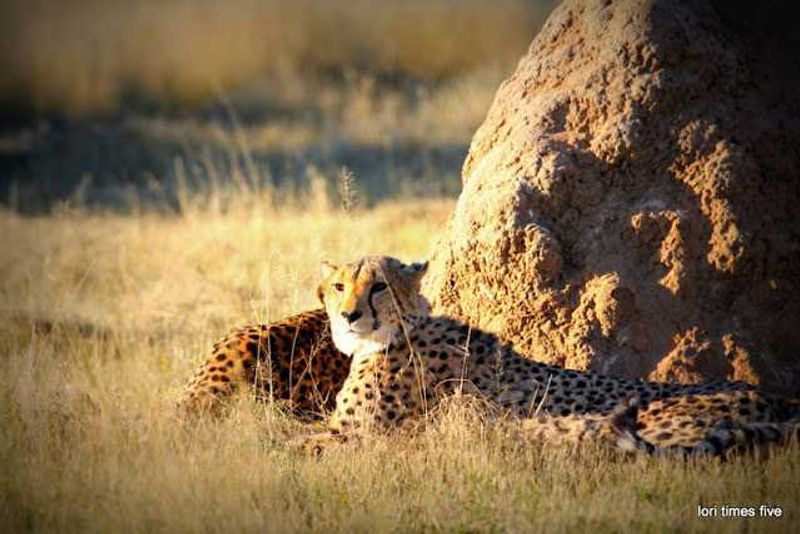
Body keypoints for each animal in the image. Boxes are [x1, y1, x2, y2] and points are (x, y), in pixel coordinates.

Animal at [306, 255, 799, 456]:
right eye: (338, 286)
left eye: (378, 286)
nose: (349, 315)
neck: (400, 330)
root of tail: (777, 399)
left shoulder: (355, 435)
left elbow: (297, 446)